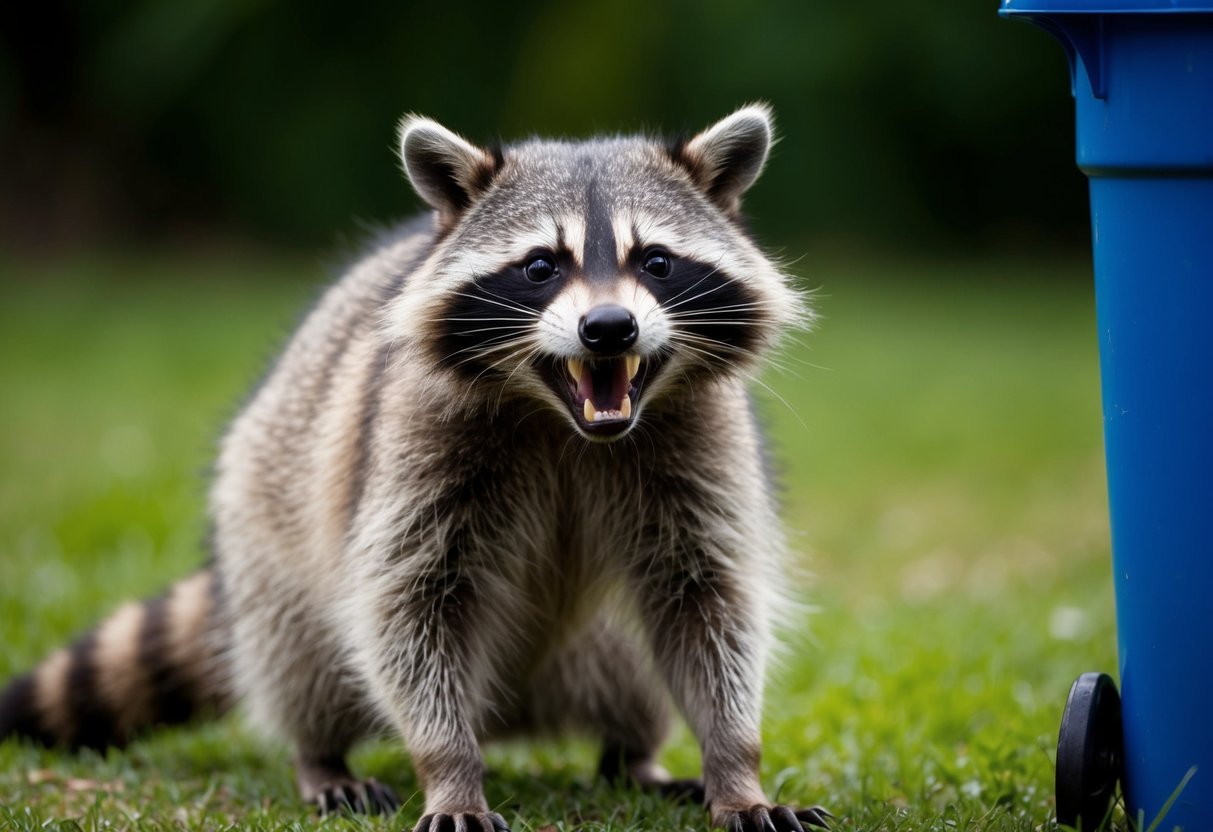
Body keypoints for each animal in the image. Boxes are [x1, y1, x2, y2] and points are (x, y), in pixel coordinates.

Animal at [0, 105, 830, 832]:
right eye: (540, 266)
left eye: (655, 262)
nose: (608, 328)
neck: (564, 422)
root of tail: (514, 712)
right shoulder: (411, 443)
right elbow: (407, 605)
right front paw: (449, 769)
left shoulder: (701, 445)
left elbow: (708, 601)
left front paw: (735, 765)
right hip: (264, 515)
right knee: (297, 652)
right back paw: (321, 753)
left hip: (595, 647)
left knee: (635, 665)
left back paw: (635, 757)